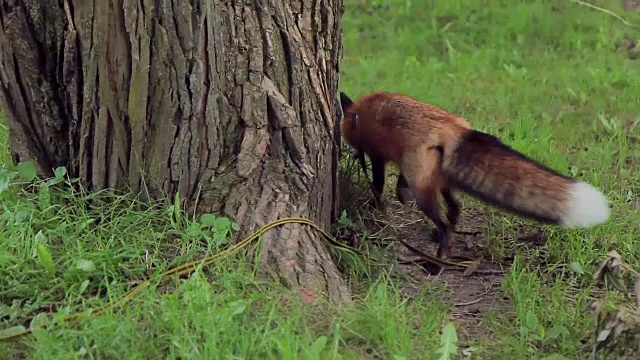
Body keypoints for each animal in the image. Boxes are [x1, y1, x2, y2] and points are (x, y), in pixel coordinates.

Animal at [340, 90, 608, 258]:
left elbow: (378, 185)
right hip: (440, 182)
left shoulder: (378, 157)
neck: (361, 113)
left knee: (445, 223)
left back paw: (440, 255)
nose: (351, 154)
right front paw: (398, 195)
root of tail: (454, 128)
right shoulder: (403, 163)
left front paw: (377, 206)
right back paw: (438, 237)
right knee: (455, 209)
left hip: (424, 192)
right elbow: (398, 183)